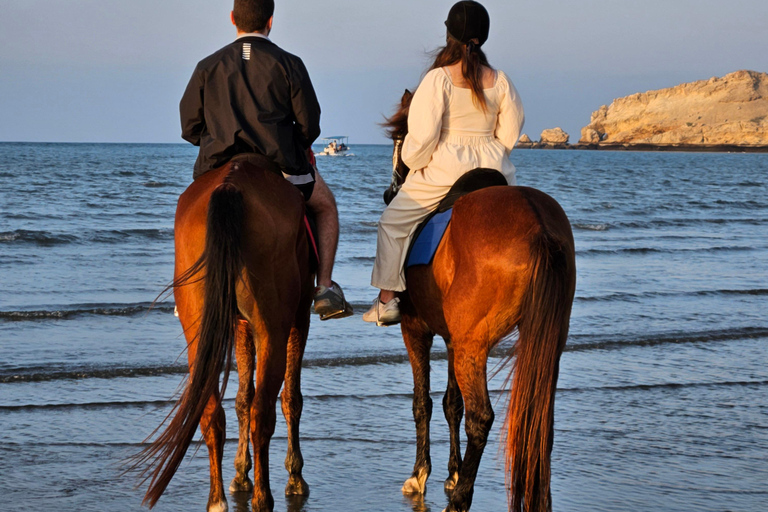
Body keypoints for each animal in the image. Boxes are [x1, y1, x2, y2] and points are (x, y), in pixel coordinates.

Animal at [134, 157, 314, 512]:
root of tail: (231, 183)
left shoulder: (240, 325)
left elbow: (242, 398)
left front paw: (241, 474)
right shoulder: (299, 317)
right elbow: (290, 398)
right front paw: (295, 477)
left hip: (198, 328)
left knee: (211, 412)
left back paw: (217, 499)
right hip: (272, 329)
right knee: (263, 412)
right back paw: (263, 498)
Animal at [384, 92, 576, 512]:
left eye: (401, 138)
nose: (391, 192)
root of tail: (539, 228)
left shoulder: (416, 329)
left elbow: (422, 402)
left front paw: (421, 474)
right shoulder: (453, 338)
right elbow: (450, 403)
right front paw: (453, 471)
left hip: (473, 345)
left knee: (481, 417)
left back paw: (459, 500)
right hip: (541, 341)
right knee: (538, 420)